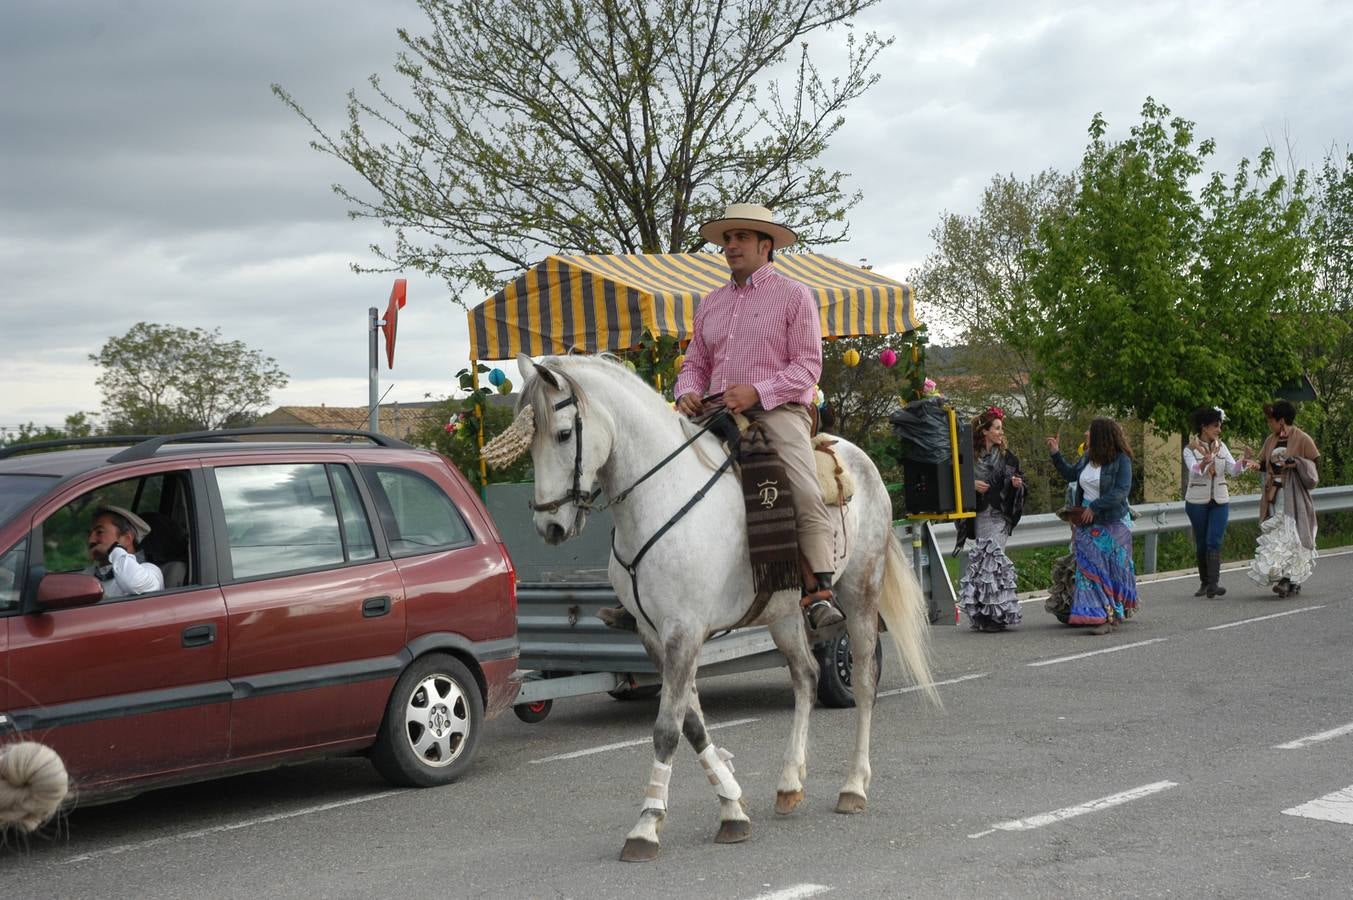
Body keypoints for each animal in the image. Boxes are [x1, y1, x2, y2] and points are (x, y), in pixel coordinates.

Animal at [500, 354, 941, 860]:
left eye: (562, 434)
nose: (550, 525)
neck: (664, 496)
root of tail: (858, 457)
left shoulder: (684, 632)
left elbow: (667, 728)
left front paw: (646, 825)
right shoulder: (654, 636)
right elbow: (691, 723)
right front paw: (731, 805)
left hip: (860, 593)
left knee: (864, 681)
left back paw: (853, 786)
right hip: (784, 615)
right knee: (806, 678)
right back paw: (789, 783)